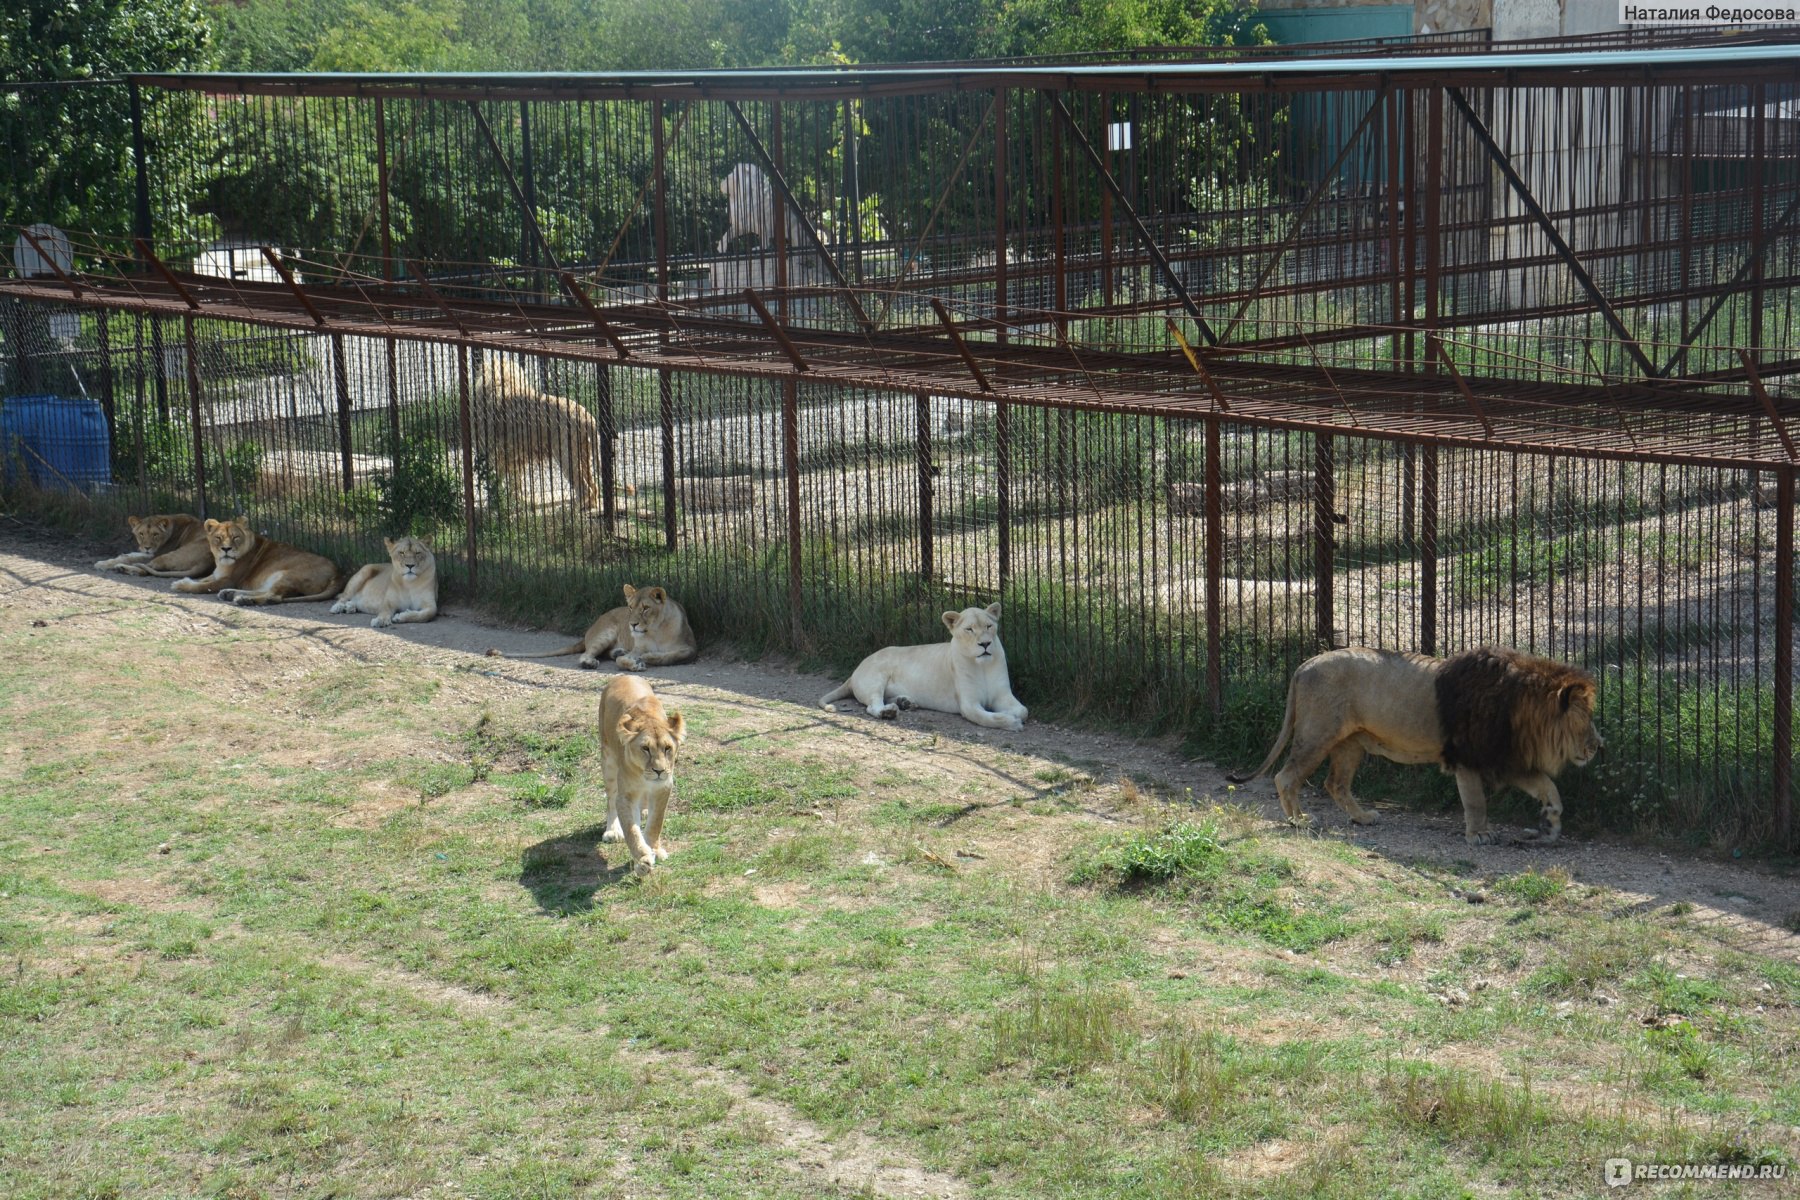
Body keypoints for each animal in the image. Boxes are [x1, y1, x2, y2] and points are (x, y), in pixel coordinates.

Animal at [170, 518, 342, 604]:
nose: (226, 549)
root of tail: (338, 573)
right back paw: (230, 594)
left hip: (288, 574)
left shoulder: (229, 580)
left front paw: (181, 585)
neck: (221, 564)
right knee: (264, 590)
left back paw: (243, 600)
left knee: (273, 596)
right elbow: (203, 580)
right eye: (218, 538)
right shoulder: (217, 575)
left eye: (235, 537)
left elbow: (203, 586)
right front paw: (185, 580)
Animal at [500, 582, 694, 672]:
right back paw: (590, 662)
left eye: (646, 608)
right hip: (606, 633)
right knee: (586, 653)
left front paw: (648, 657)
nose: (632, 625)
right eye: (631, 607)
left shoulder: (690, 649)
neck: (654, 631)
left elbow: (670, 656)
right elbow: (622, 661)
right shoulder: (637, 648)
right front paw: (635, 664)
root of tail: (590, 629)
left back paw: (617, 651)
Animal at [604, 672, 687, 877]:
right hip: (608, 762)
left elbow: (656, 822)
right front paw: (642, 860)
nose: (659, 771)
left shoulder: (663, 788)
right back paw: (612, 831)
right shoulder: (626, 796)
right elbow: (631, 830)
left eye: (667, 748)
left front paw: (654, 849)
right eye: (645, 748)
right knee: (610, 800)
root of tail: (624, 675)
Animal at [817, 600, 1029, 734]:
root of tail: (855, 671)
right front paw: (1011, 722)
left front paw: (1011, 713)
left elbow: (1023, 710)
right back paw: (888, 711)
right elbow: (990, 718)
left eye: (988, 626)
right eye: (969, 629)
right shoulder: (968, 705)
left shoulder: (1003, 695)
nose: (985, 644)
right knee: (872, 705)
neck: (982, 667)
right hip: (876, 678)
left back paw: (905, 702)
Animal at [1224, 647, 1605, 845]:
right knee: (1286, 777)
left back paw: (1363, 817)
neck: (1520, 708)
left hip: (1350, 743)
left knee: (1335, 784)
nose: (1598, 745)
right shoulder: (1467, 757)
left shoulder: (1504, 760)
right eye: (1586, 717)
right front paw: (1479, 835)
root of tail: (1304, 664)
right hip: (1318, 734)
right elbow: (1475, 801)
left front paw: (1550, 823)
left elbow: (1549, 787)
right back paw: (1300, 822)